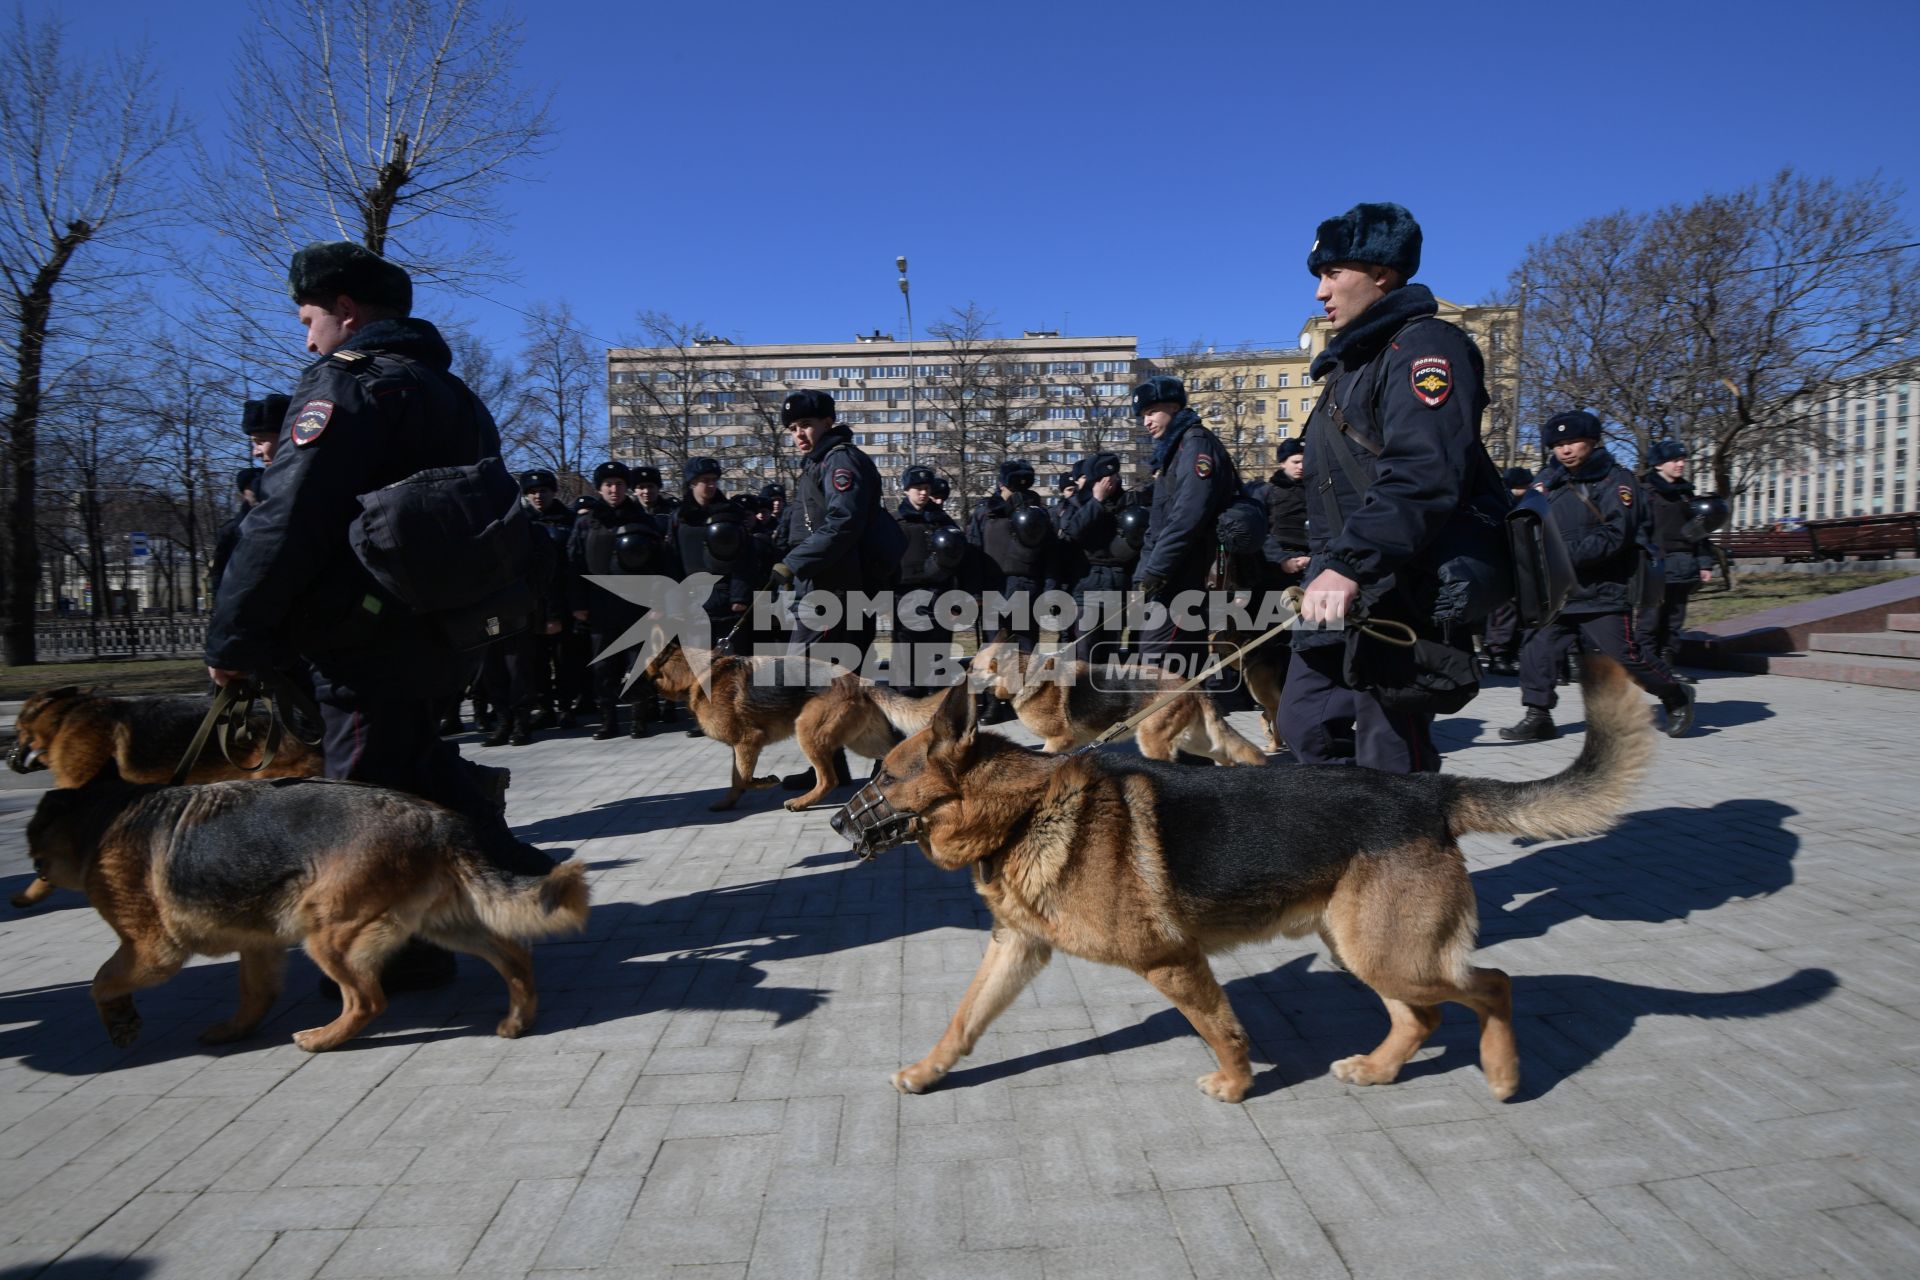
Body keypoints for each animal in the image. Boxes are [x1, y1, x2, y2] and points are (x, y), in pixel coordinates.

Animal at [26, 771, 583, 1051]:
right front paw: (235, 1032)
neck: (102, 817)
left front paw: (120, 1021)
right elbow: (253, 995)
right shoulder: (258, 947)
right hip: (445, 925)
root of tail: (439, 823)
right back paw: (517, 1020)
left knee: (367, 1001)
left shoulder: (151, 951)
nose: (21, 890)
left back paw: (322, 1039)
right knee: (514, 956)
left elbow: (101, 980)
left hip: (328, 933)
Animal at [641, 640, 948, 809]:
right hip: (863, 741)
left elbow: (744, 778)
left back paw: (801, 803)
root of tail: (858, 680)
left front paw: (766, 782)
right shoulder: (739, 748)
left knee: (829, 779)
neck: (700, 673)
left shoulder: (748, 741)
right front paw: (727, 803)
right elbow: (735, 780)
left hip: (808, 732)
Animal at [829, 656, 1651, 1105]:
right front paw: (926, 1073)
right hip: (1362, 948)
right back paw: (1380, 1069)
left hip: (1390, 952)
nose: (837, 823)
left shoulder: (1172, 961)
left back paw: (1504, 1074)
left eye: (886, 777)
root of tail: (1427, 791)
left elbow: (1220, 1027)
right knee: (1422, 1016)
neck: (1026, 809)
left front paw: (1236, 1084)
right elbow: (963, 1022)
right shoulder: (1015, 950)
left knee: (1494, 986)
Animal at [967, 637, 1267, 767]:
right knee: (1224, 754)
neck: (1028, 675)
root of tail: (1191, 685)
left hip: (1154, 742)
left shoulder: (1058, 741)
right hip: (1194, 741)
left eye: (971, 668)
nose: (960, 679)